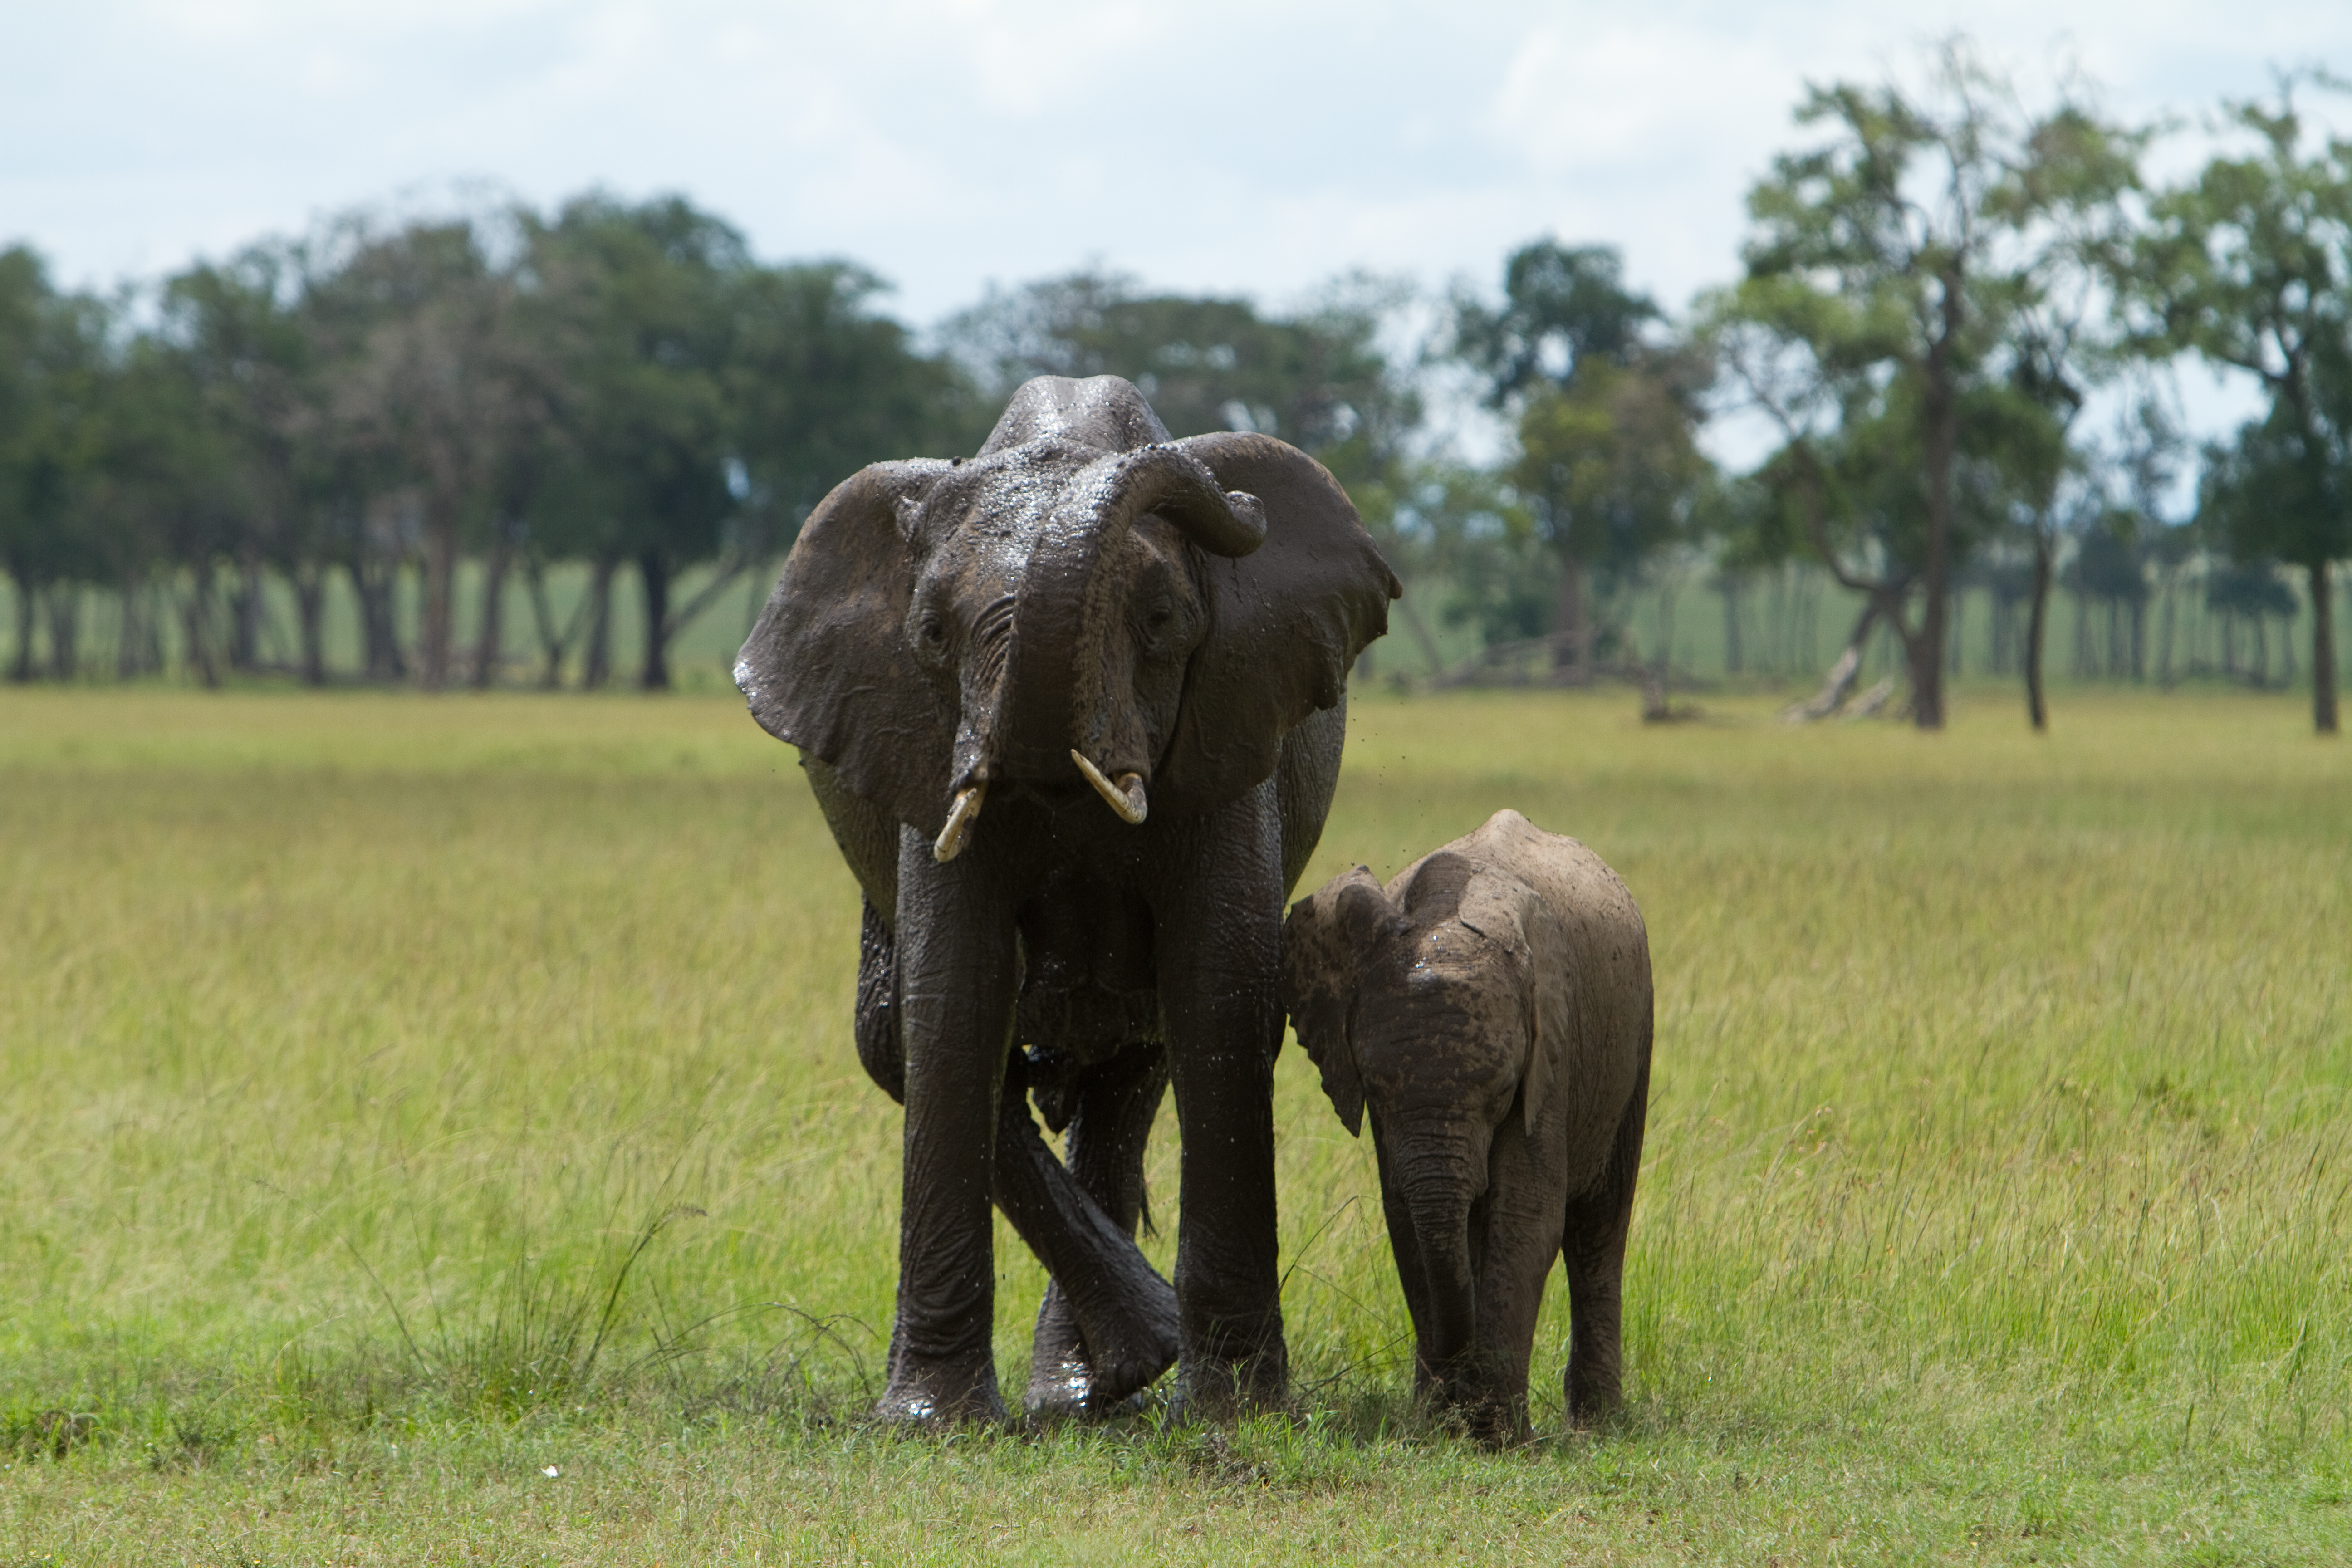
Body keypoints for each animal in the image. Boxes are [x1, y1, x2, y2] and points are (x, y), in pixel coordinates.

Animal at [735, 374, 1399, 1424]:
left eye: (1163, 621)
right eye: (931, 635)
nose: (1238, 504)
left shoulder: (1229, 729)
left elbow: (1218, 992)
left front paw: (1235, 1415)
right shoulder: (925, 742)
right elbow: (954, 999)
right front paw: (933, 1425)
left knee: (1136, 1057)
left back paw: (1101, 1383)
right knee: (893, 1038)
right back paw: (1107, 1372)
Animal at [1280, 809, 1652, 1442]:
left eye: (1502, 1087)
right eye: (1374, 1086)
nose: (1457, 1394)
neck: (1443, 922)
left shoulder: (1550, 1059)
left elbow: (1526, 1220)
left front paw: (1497, 1435)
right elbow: (1407, 1222)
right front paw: (1440, 1426)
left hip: (1637, 1028)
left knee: (1600, 1229)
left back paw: (1596, 1425)